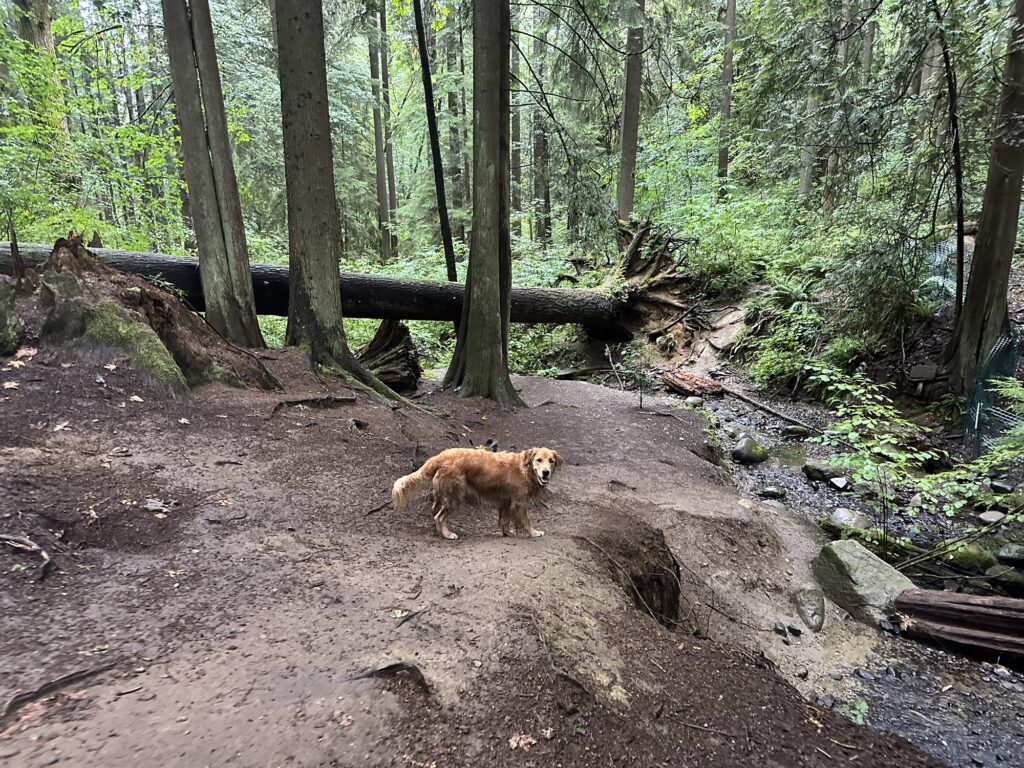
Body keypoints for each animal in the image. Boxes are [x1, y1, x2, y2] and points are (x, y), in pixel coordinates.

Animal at [393, 444, 569, 540]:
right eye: (539, 460)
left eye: (551, 461)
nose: (546, 472)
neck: (524, 468)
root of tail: (439, 456)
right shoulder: (519, 502)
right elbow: (526, 521)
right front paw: (534, 532)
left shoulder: (506, 500)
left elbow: (504, 520)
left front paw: (507, 533)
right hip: (455, 495)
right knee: (439, 516)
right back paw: (447, 534)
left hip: (442, 494)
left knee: (434, 512)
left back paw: (439, 531)